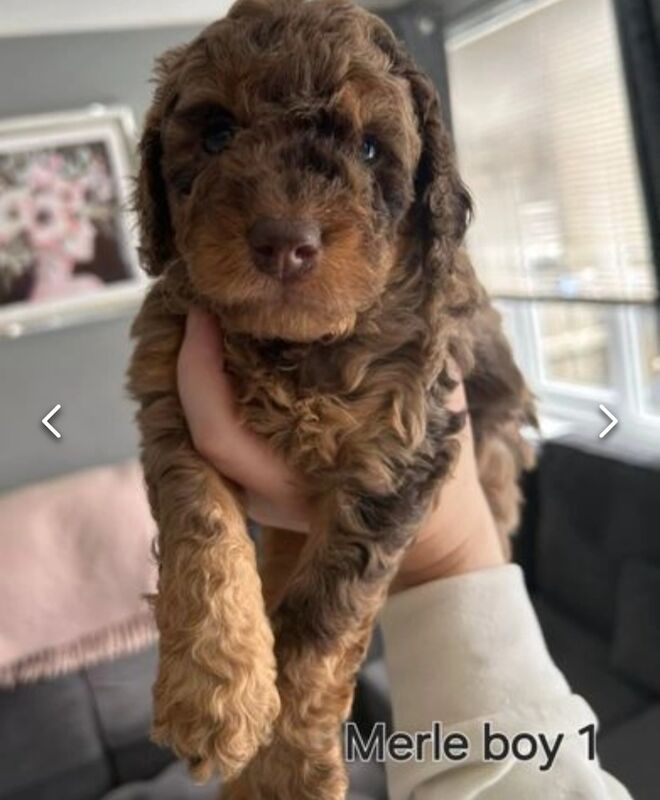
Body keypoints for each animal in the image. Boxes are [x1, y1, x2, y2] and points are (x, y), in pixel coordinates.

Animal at [127, 0, 536, 796]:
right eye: (217, 132)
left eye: (372, 151)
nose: (285, 242)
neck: (294, 349)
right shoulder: (169, 393)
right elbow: (203, 530)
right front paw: (213, 692)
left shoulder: (401, 449)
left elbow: (318, 622)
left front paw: (281, 771)